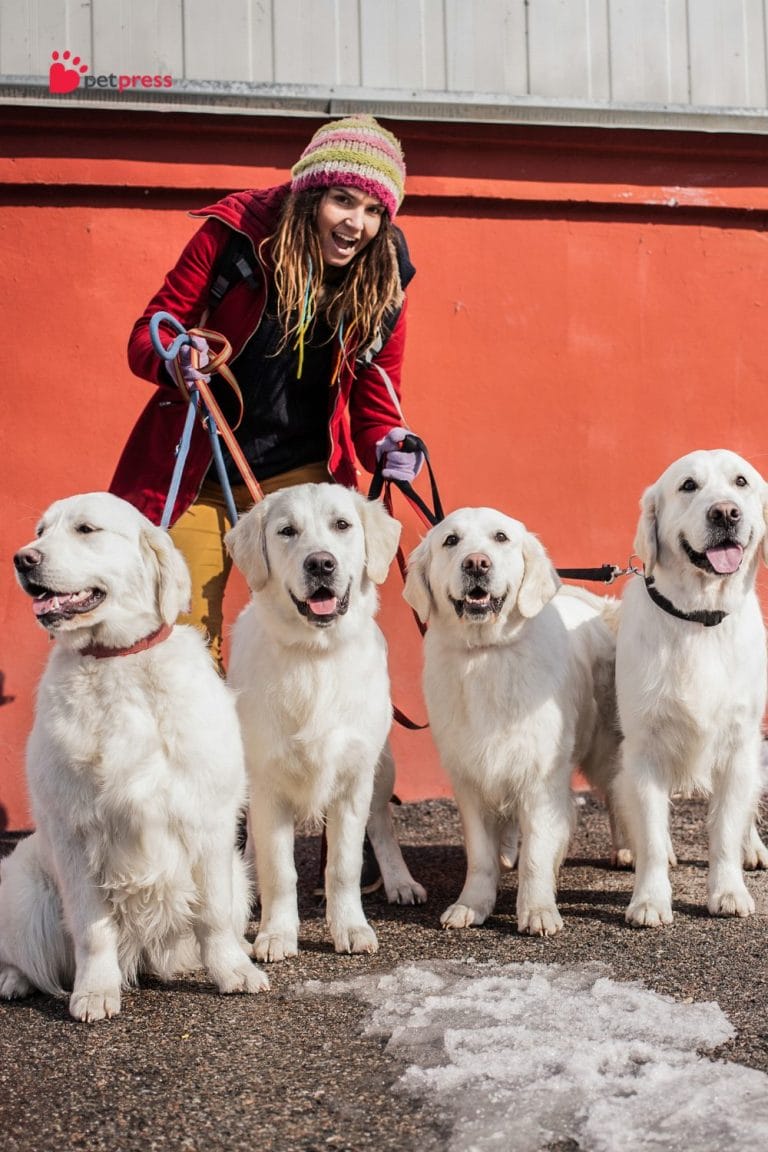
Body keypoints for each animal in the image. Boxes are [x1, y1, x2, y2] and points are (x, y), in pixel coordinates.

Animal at [0, 493, 267, 1021]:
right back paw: (14, 980)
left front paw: (233, 971)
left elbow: (212, 914)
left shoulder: (208, 821)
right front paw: (96, 991)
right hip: (20, 888)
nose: (23, 559)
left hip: (241, 875)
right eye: (41, 531)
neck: (116, 660)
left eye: (86, 529)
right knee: (26, 956)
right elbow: (93, 929)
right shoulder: (75, 832)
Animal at [225, 482, 424, 963]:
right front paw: (276, 933)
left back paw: (400, 881)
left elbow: (343, 866)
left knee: (381, 824)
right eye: (286, 531)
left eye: (342, 525)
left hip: (382, 766)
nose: (320, 563)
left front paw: (350, 927)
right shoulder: (268, 783)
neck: (316, 655)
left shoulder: (353, 778)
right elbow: (280, 870)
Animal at [403, 507, 621, 936]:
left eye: (501, 537)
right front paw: (472, 905)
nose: (476, 563)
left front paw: (537, 910)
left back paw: (627, 850)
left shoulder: (539, 776)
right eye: (451, 541)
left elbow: (536, 851)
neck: (487, 653)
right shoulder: (470, 778)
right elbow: (480, 856)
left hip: (605, 748)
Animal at [615, 449, 768, 927]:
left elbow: (725, 829)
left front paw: (729, 890)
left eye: (741, 482)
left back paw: (754, 848)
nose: (726, 513)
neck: (700, 618)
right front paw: (649, 900)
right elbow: (650, 835)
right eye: (688, 486)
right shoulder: (644, 749)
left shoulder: (739, 744)